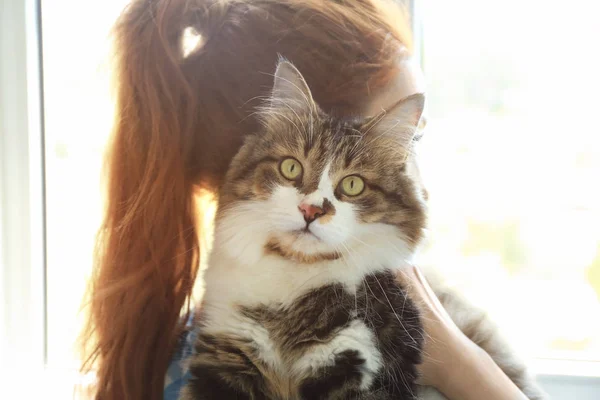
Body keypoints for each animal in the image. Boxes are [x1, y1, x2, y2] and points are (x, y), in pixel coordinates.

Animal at [180, 60, 548, 400]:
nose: (311, 210)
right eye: (291, 168)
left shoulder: (364, 359)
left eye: (353, 185)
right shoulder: (226, 351)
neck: (293, 288)